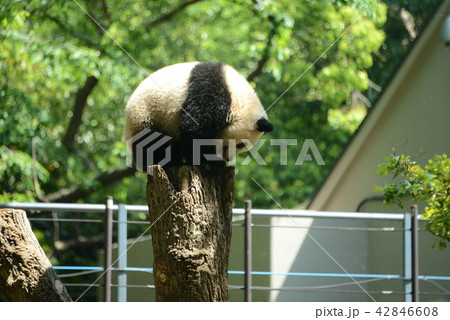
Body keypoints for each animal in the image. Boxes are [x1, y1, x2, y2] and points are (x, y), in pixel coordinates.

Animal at [125, 61, 274, 174]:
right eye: (241, 144)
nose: (229, 159)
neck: (238, 99)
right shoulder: (210, 93)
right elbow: (194, 130)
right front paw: (211, 164)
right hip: (148, 114)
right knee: (152, 141)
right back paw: (165, 162)